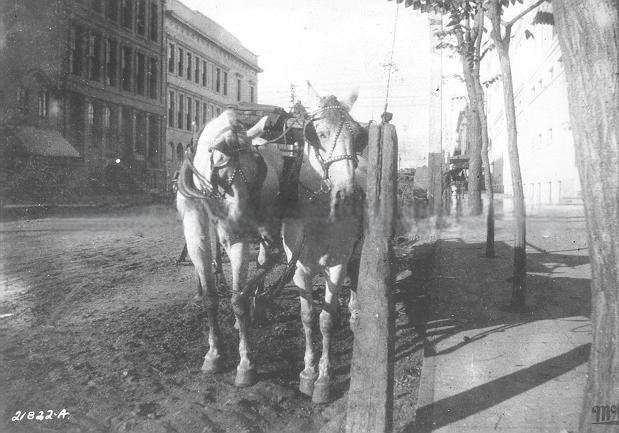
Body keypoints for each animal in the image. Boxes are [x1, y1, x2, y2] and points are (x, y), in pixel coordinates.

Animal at [174, 109, 276, 386]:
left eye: (256, 173)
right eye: (219, 175)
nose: (244, 226)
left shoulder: (238, 235)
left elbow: (237, 300)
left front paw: (246, 364)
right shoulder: (194, 227)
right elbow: (211, 295)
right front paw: (214, 353)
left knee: (264, 261)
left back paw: (257, 303)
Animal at [247, 84, 366, 402]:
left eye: (358, 136)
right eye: (319, 134)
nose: (348, 195)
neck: (320, 213)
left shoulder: (337, 262)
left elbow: (326, 319)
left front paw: (324, 379)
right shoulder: (300, 268)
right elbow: (308, 317)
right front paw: (308, 372)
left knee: (355, 274)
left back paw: (354, 314)